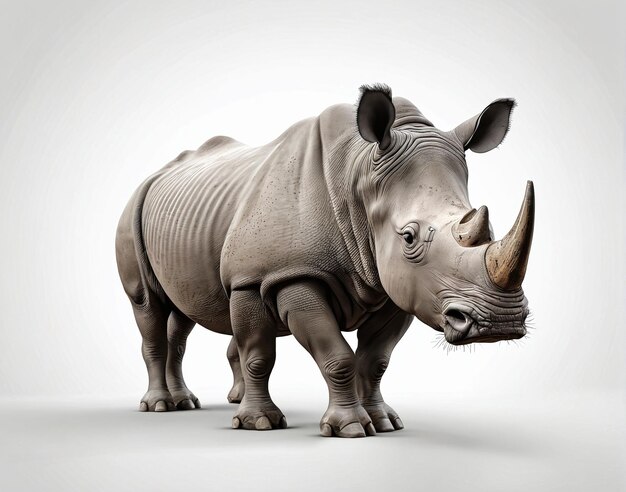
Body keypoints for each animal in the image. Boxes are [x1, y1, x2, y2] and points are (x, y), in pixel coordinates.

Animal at [116, 84, 532, 438]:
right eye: (409, 237)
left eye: (489, 226)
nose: (501, 321)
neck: (359, 172)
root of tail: (156, 174)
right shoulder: (278, 275)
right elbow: (293, 355)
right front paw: (281, 425)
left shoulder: (398, 287)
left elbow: (375, 361)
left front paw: (383, 422)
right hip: (134, 209)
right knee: (149, 305)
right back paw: (161, 407)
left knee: (182, 311)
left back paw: (192, 401)